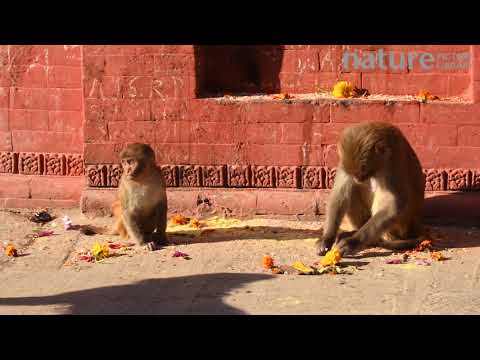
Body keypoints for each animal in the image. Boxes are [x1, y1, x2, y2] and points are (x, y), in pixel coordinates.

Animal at [316, 122, 426, 258]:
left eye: (364, 169)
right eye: (355, 172)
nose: (358, 178)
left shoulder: (393, 159)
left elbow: (394, 203)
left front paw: (353, 242)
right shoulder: (344, 160)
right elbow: (340, 194)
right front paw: (326, 238)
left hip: (401, 226)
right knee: (351, 191)